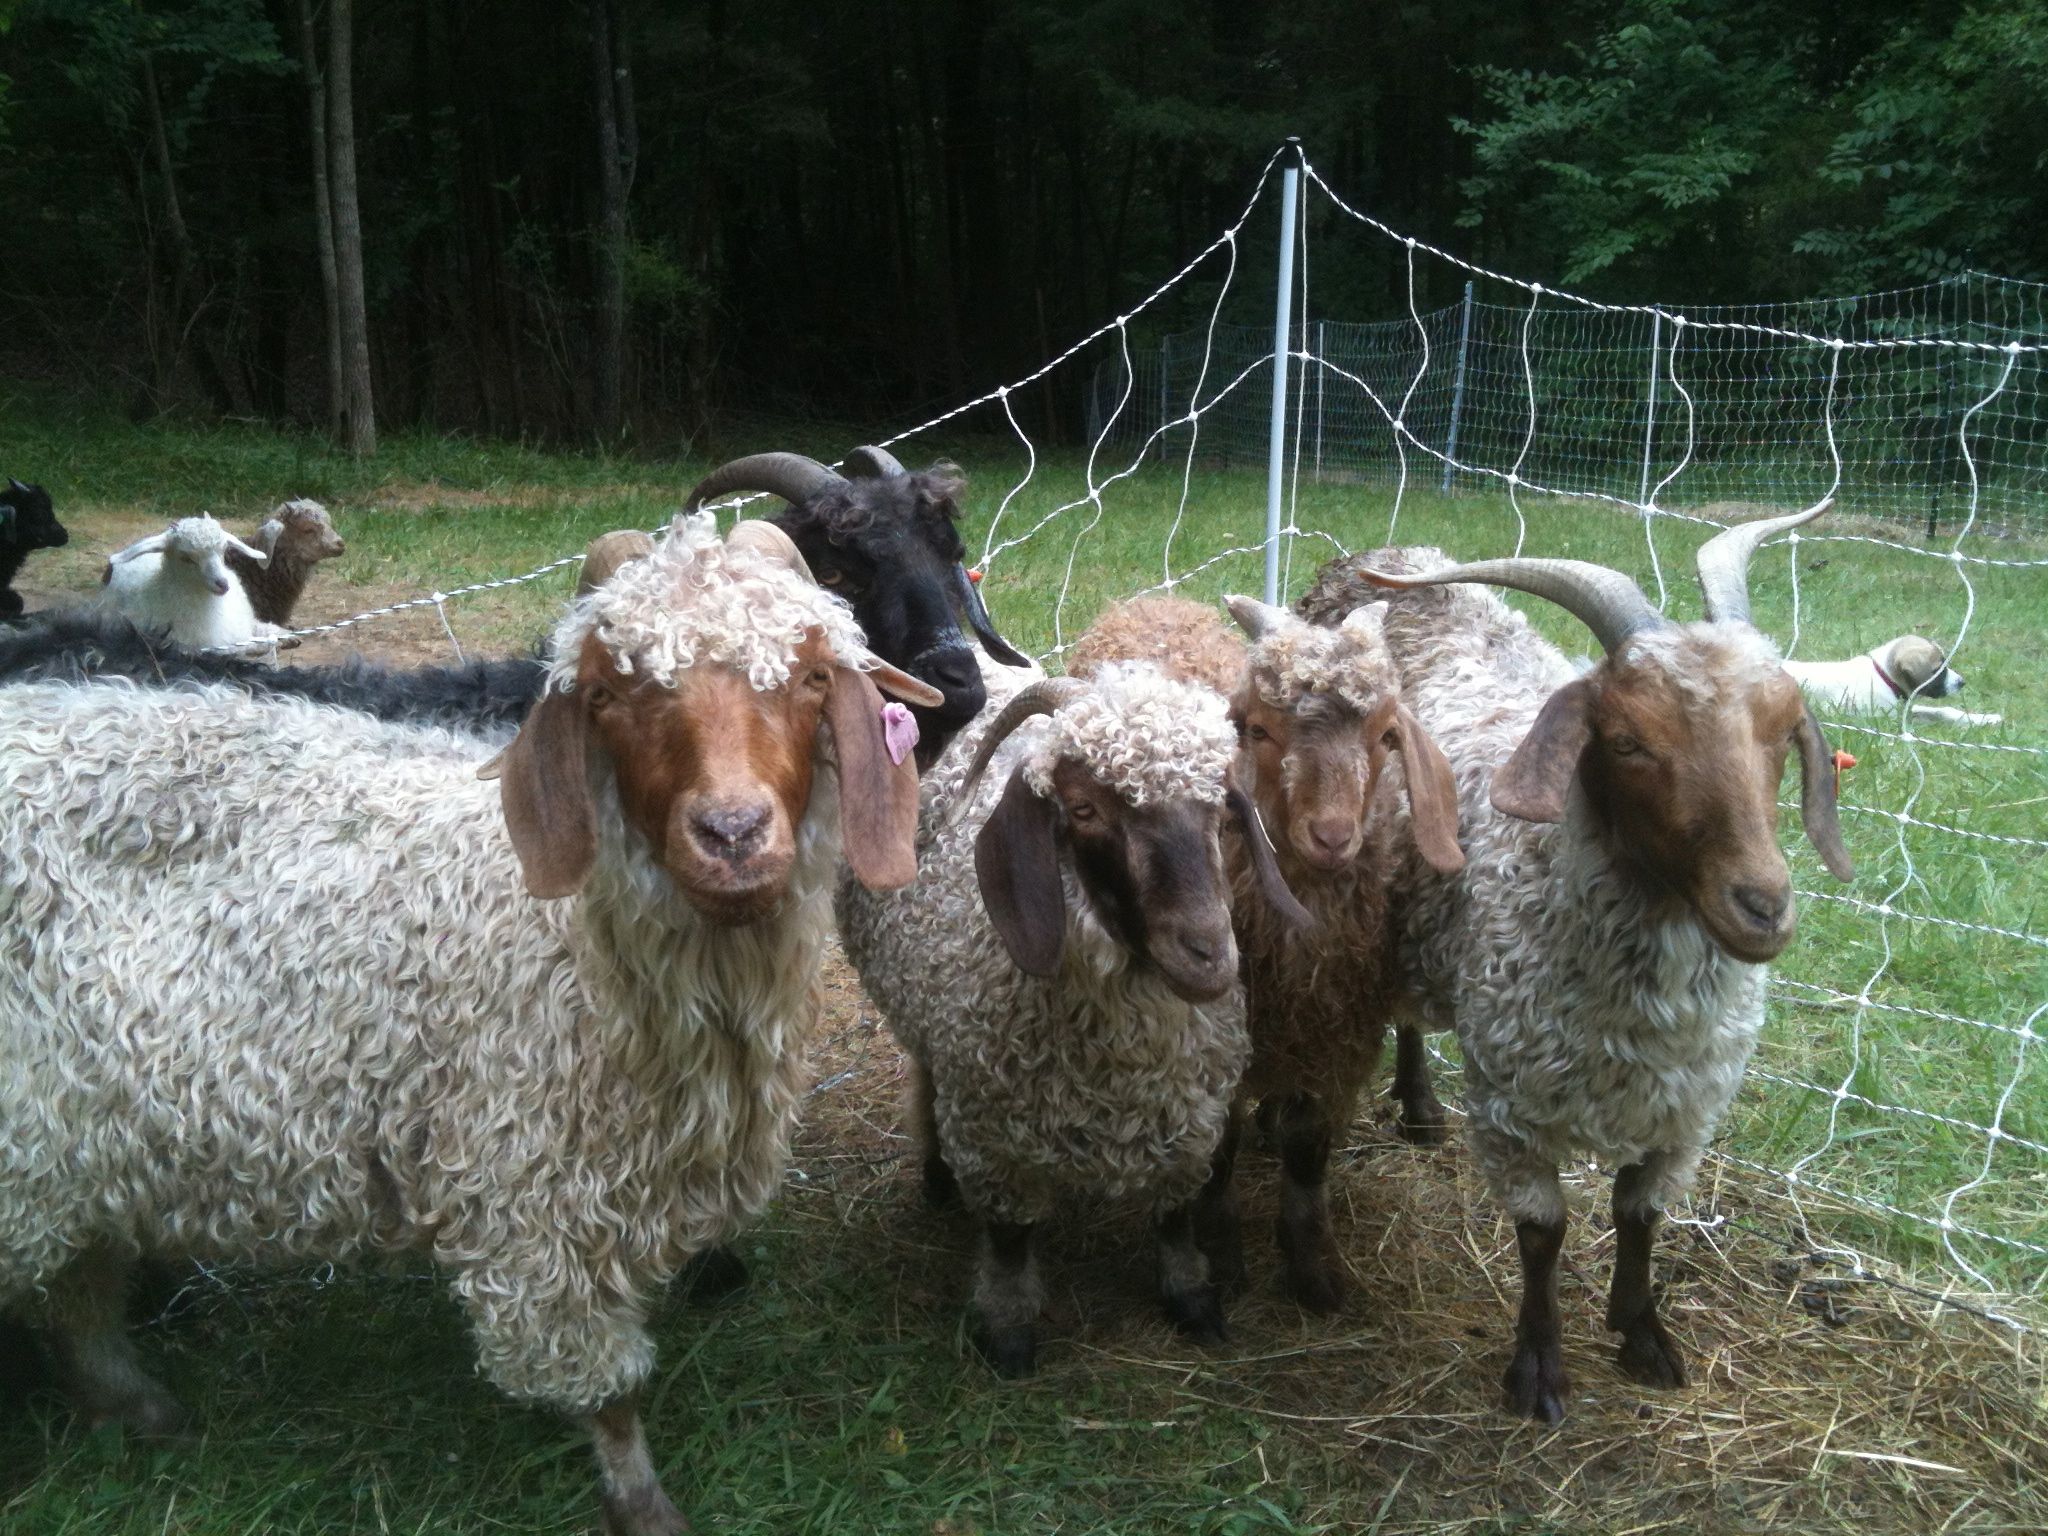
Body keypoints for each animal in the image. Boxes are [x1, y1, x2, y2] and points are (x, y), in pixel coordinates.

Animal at [0, 517, 938, 1534]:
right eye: (608, 693)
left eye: (810, 677)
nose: (731, 834)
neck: (580, 945)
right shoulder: (534, 1187)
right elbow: (606, 1389)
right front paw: (643, 1502)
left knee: (79, 1286)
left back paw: (139, 1405)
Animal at [1300, 507, 1852, 1422]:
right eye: (1627, 741)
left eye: (1782, 730)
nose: (1763, 906)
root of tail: (1380, 557)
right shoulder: (1512, 1103)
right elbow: (1543, 1233)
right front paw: (1538, 1367)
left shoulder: (1684, 1112)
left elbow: (1640, 1216)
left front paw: (1642, 1332)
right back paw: (1418, 1106)